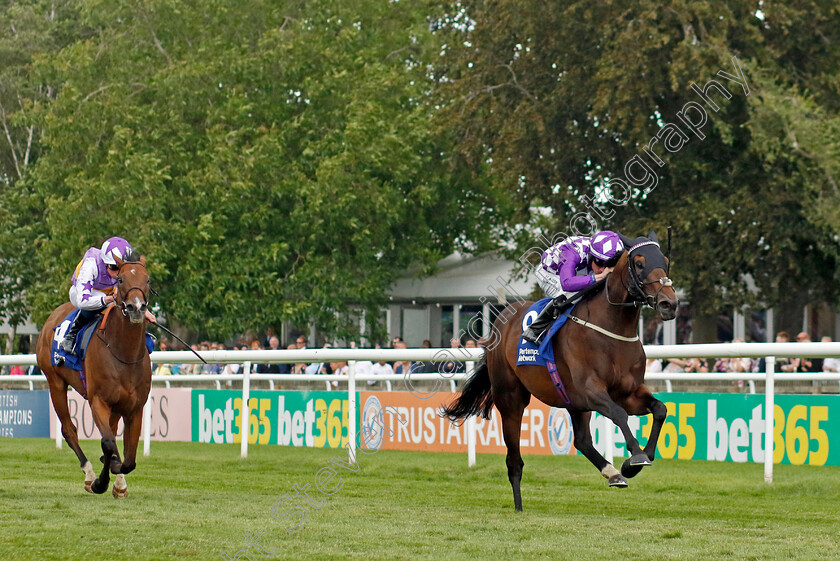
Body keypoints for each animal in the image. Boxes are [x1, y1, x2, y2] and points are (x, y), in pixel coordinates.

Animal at [36, 252, 153, 496]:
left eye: (147, 280)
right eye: (120, 280)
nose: (137, 308)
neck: (124, 353)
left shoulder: (134, 407)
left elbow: (129, 458)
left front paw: (118, 480)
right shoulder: (98, 400)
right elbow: (107, 442)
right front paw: (101, 482)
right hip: (55, 383)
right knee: (69, 430)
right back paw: (89, 474)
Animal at [442, 230, 680, 510]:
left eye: (665, 260)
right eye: (640, 263)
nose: (669, 303)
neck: (612, 330)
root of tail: (501, 320)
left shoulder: (627, 392)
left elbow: (660, 409)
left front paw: (634, 463)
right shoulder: (590, 390)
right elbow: (619, 415)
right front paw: (637, 456)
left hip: (573, 402)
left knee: (582, 441)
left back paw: (613, 473)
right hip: (511, 399)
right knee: (514, 460)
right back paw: (518, 506)